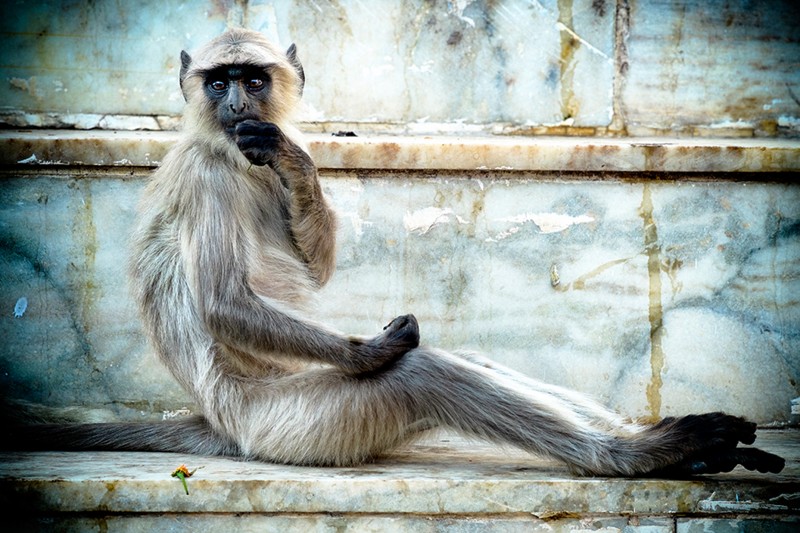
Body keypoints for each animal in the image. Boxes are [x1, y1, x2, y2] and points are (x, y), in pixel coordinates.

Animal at [5, 28, 785, 477]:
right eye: (217, 79)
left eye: (253, 79)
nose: (235, 104)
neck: (220, 146)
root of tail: (225, 423)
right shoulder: (206, 174)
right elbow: (226, 305)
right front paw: (371, 349)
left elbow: (312, 257)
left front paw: (297, 162)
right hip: (295, 426)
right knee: (422, 370)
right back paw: (636, 454)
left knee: (467, 359)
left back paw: (666, 439)